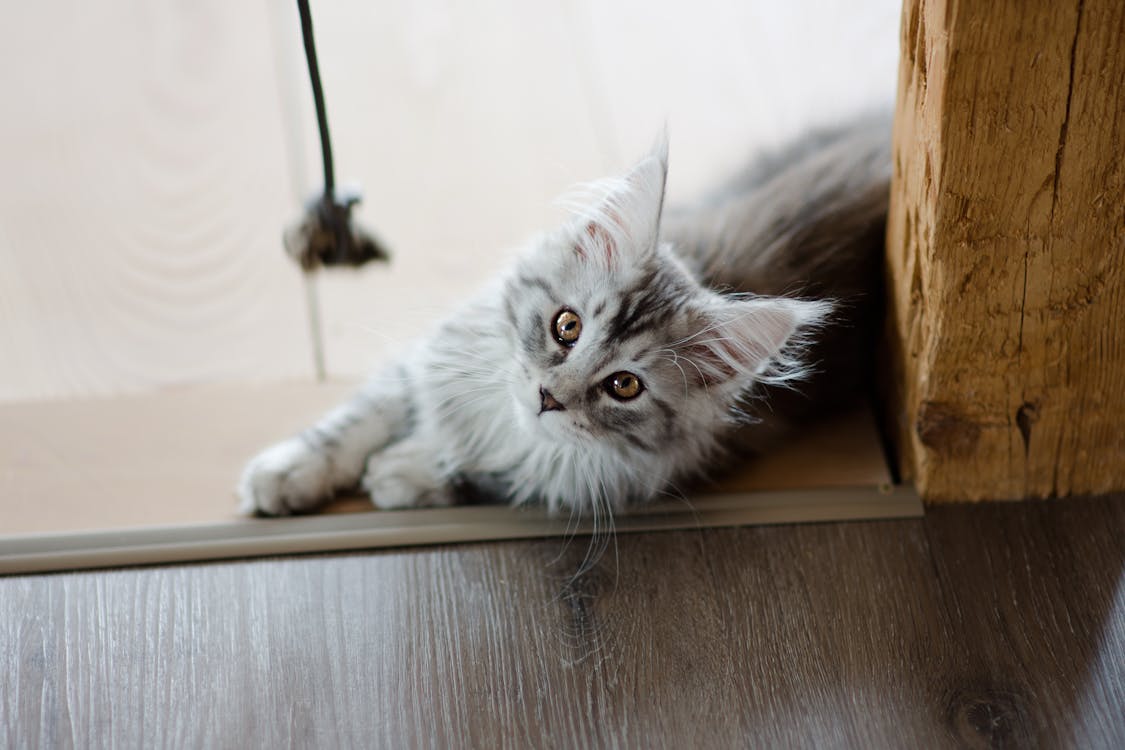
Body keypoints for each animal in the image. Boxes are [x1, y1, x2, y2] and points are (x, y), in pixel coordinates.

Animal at [237, 114, 886, 519]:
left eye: (624, 386)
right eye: (566, 326)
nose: (549, 396)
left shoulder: (628, 473)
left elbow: (497, 475)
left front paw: (406, 471)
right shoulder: (430, 357)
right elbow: (356, 420)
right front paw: (289, 472)